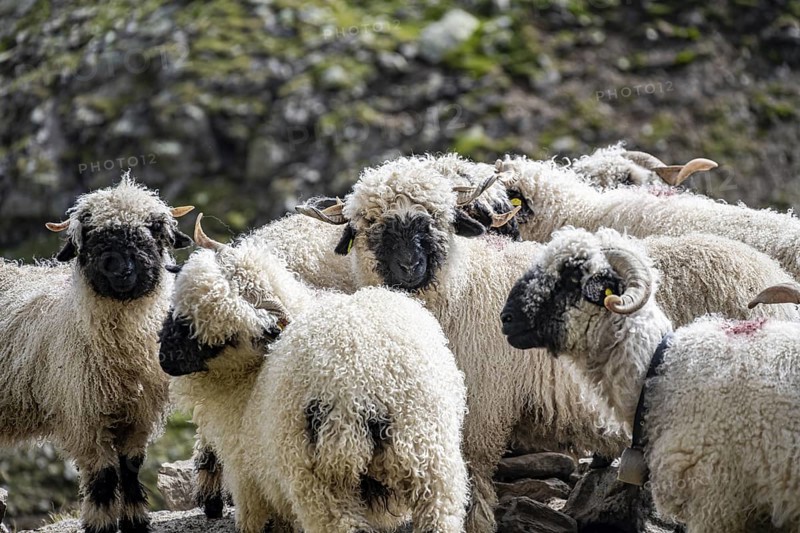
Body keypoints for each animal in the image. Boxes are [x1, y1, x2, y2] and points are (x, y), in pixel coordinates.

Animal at [0, 175, 194, 533]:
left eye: (154, 229)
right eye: (90, 235)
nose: (122, 270)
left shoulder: (139, 414)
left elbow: (131, 466)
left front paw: (135, 520)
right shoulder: (84, 416)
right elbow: (102, 476)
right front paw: (100, 524)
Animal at [159, 214, 469, 533]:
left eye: (227, 338)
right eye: (179, 310)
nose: (166, 360)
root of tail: (359, 386)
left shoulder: (249, 483)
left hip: (318, 484)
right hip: (431, 463)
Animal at [298, 155, 626, 533]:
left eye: (435, 218)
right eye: (370, 223)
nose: (409, 266)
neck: (462, 288)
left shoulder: (481, 412)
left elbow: (474, 473)